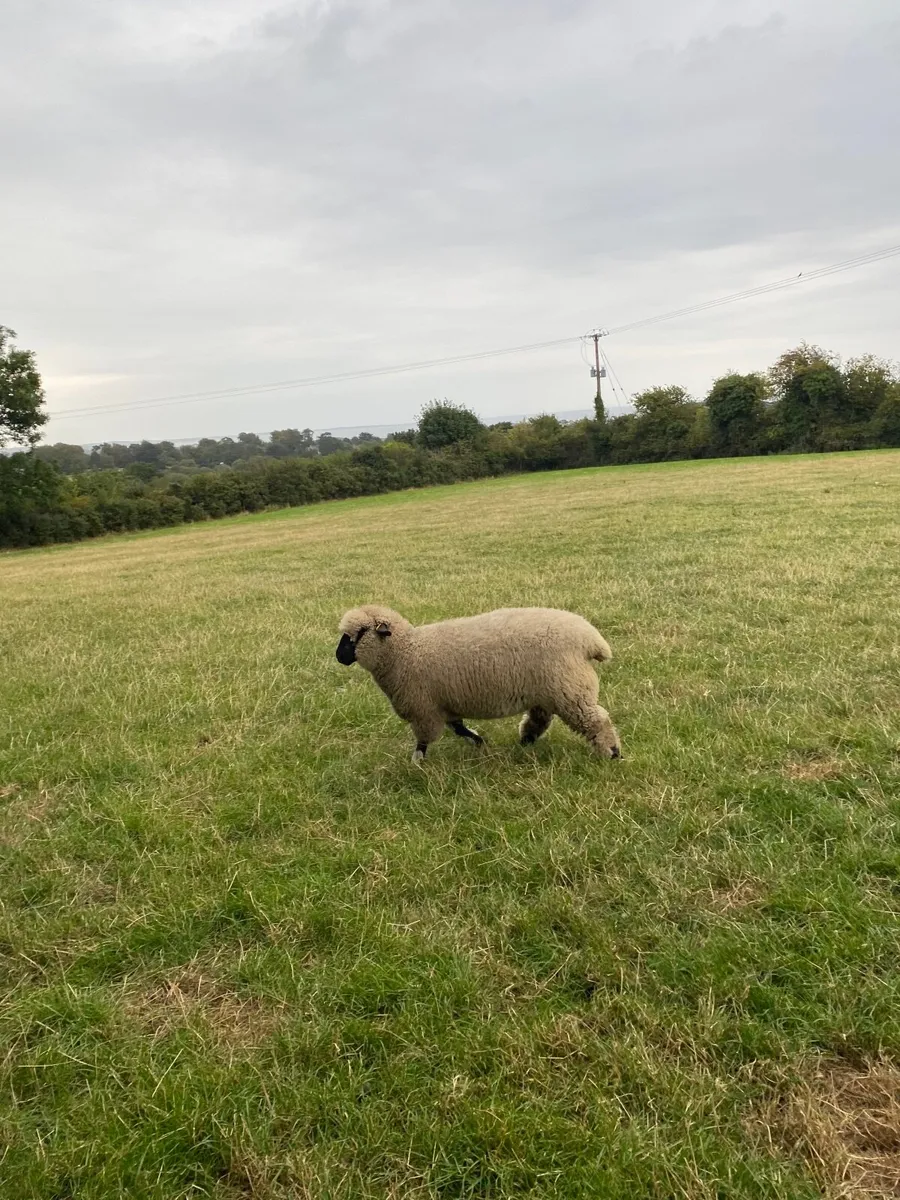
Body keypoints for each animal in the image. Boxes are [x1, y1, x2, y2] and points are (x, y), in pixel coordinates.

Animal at [335, 604, 620, 763]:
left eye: (359, 633)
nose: (338, 656)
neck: (405, 651)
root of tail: (591, 639)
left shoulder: (424, 710)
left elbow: (425, 740)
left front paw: (416, 762)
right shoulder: (441, 706)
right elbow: (459, 728)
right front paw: (479, 742)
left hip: (570, 689)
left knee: (596, 720)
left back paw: (613, 753)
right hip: (548, 690)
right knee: (540, 719)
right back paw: (525, 742)